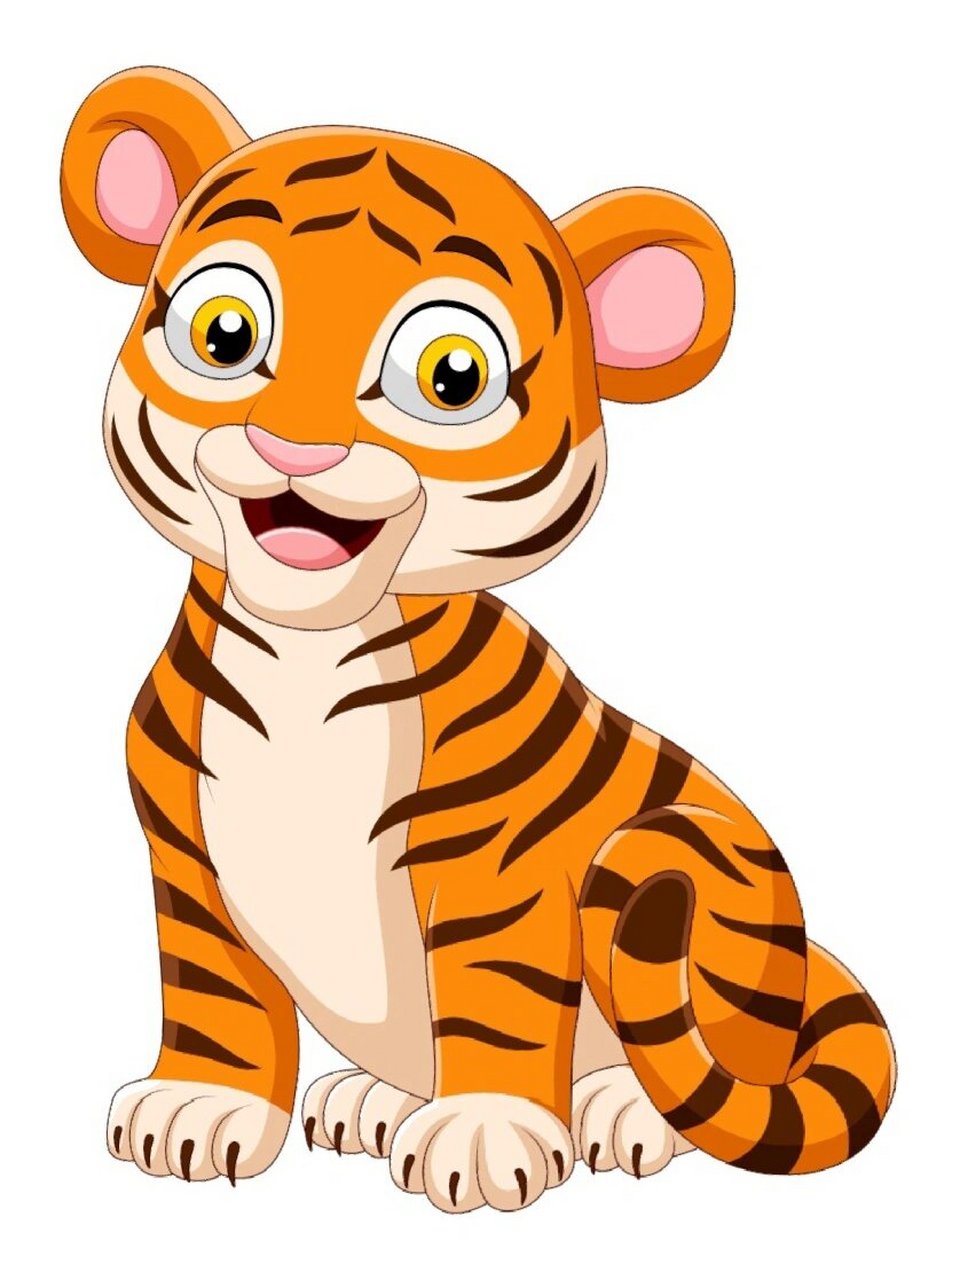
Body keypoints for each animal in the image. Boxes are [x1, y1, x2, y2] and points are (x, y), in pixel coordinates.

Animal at [61, 66, 895, 1212]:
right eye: (226, 334)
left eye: (451, 376)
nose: (296, 447)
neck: (301, 655)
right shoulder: (186, 851)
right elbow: (218, 994)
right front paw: (200, 1105)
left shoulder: (505, 868)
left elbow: (495, 1003)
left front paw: (485, 1133)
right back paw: (370, 1100)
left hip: (721, 878)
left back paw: (621, 1108)